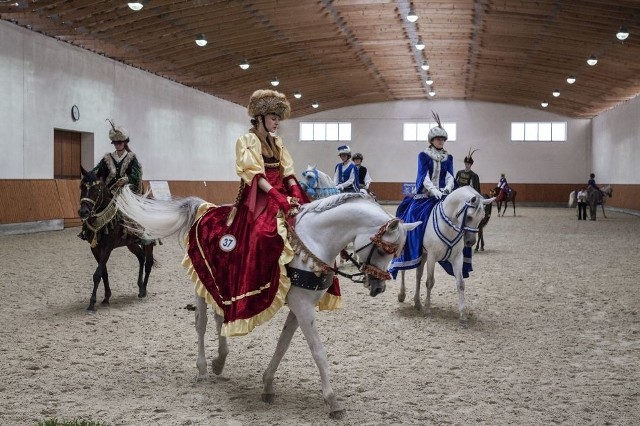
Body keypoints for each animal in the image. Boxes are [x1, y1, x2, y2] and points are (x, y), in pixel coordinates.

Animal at [78, 167, 154, 312]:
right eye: (82, 187)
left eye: (96, 189)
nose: (83, 212)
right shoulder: (95, 248)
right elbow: (103, 272)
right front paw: (106, 297)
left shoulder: (107, 247)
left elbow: (97, 274)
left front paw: (92, 303)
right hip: (131, 244)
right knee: (141, 258)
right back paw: (140, 286)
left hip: (149, 242)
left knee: (148, 263)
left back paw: (144, 290)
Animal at [114, 189, 420, 420]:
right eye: (384, 249)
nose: (379, 288)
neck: (313, 242)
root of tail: (205, 207)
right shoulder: (303, 307)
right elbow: (318, 352)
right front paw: (333, 402)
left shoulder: (299, 306)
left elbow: (282, 345)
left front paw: (268, 384)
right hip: (198, 282)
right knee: (201, 324)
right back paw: (202, 370)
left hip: (219, 284)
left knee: (220, 318)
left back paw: (219, 361)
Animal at [398, 186, 492, 326]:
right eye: (469, 217)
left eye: (482, 217)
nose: (470, 242)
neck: (449, 226)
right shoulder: (432, 256)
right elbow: (430, 282)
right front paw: (428, 309)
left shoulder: (457, 258)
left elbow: (460, 284)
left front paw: (463, 316)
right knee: (403, 270)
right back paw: (402, 295)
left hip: (423, 254)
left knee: (418, 275)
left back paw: (417, 303)